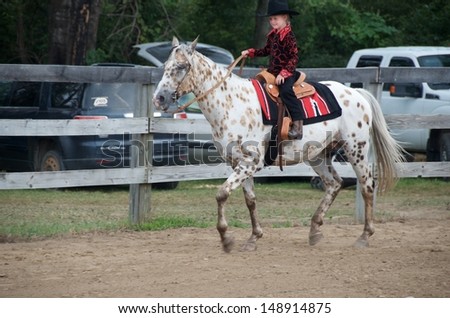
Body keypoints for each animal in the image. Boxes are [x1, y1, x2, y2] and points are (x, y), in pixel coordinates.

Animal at [152, 37, 404, 252]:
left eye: (181, 66)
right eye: (166, 65)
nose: (159, 99)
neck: (231, 104)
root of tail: (357, 93)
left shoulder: (250, 162)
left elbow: (222, 194)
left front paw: (226, 238)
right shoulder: (238, 163)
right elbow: (250, 200)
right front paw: (253, 238)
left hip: (356, 149)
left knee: (367, 186)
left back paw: (364, 236)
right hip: (318, 156)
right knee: (335, 184)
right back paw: (314, 230)